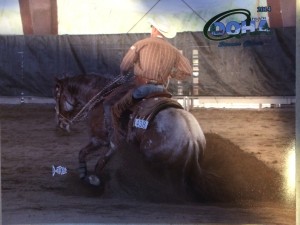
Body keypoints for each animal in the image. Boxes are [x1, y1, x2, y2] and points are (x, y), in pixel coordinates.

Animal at [54, 74, 213, 200]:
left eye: (57, 95)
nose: (61, 123)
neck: (99, 98)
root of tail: (192, 138)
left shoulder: (99, 140)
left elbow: (89, 157)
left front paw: (92, 179)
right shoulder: (110, 145)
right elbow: (95, 159)